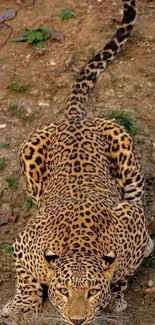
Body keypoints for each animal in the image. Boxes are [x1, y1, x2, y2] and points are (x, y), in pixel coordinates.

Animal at [1, 0, 153, 324]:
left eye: (92, 292)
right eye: (63, 291)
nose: (77, 320)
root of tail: (75, 119)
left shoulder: (130, 225)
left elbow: (122, 274)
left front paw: (115, 296)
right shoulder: (24, 243)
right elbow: (26, 278)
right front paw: (21, 305)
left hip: (123, 144)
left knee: (137, 196)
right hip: (30, 151)